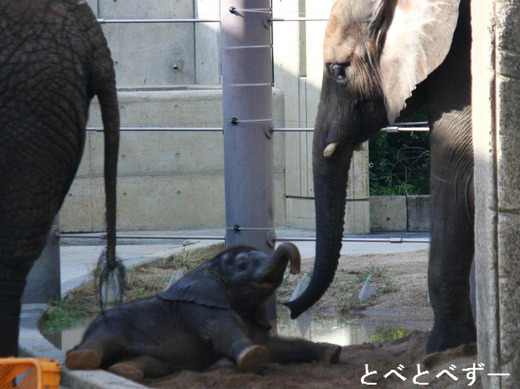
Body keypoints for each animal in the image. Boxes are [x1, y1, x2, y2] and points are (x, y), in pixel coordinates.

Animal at [65, 244, 342, 380]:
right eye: (242, 266)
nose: (296, 269)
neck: (207, 267)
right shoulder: (202, 310)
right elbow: (226, 335)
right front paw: (253, 356)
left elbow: (275, 345)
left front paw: (332, 352)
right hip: (110, 325)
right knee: (101, 341)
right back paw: (82, 359)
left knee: (151, 363)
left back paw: (126, 372)